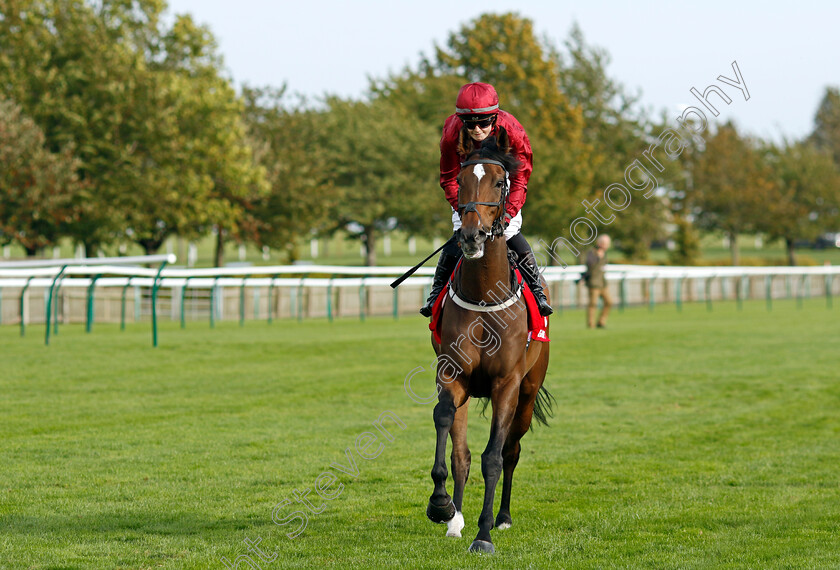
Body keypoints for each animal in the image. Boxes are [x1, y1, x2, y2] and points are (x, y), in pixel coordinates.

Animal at [426, 130, 552, 552]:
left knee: (511, 450)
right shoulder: (453, 375)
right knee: (462, 452)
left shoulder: (506, 384)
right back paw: (455, 520)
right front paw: (442, 506)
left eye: (500, 182)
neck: (484, 296)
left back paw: (503, 518)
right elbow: (446, 425)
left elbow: (494, 457)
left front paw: (484, 534)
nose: (470, 234)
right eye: (461, 181)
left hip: (528, 392)